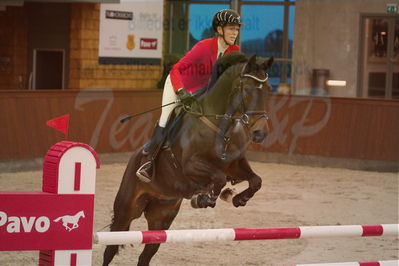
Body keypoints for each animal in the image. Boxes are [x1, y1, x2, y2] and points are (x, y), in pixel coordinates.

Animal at [102, 52, 276, 266]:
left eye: (268, 90)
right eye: (248, 90)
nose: (260, 133)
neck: (221, 127)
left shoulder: (235, 165)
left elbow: (255, 180)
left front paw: (237, 198)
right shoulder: (190, 166)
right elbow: (218, 179)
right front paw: (205, 198)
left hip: (161, 217)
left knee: (146, 255)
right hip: (126, 210)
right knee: (110, 248)